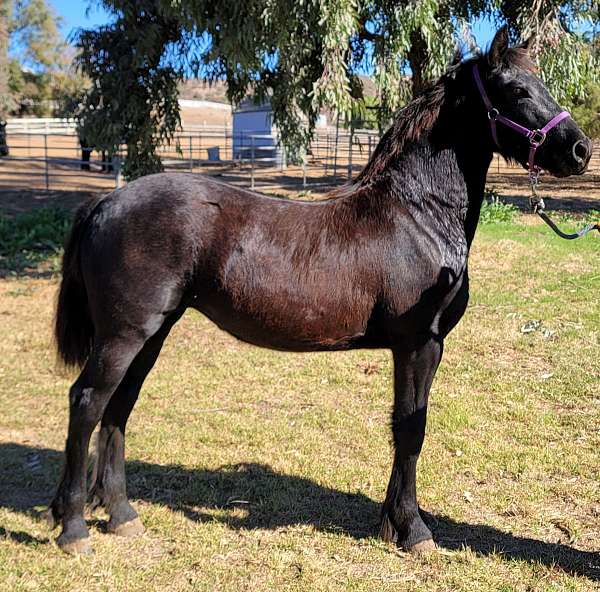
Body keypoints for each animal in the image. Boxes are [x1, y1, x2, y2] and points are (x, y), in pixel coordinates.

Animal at [48, 27, 592, 556]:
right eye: (517, 90)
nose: (580, 149)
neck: (417, 214)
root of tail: (106, 202)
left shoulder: (424, 348)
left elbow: (404, 426)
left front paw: (390, 525)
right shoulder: (418, 344)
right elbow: (411, 428)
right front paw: (414, 530)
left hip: (152, 333)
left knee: (119, 406)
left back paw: (121, 515)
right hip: (124, 334)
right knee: (87, 401)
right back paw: (74, 528)